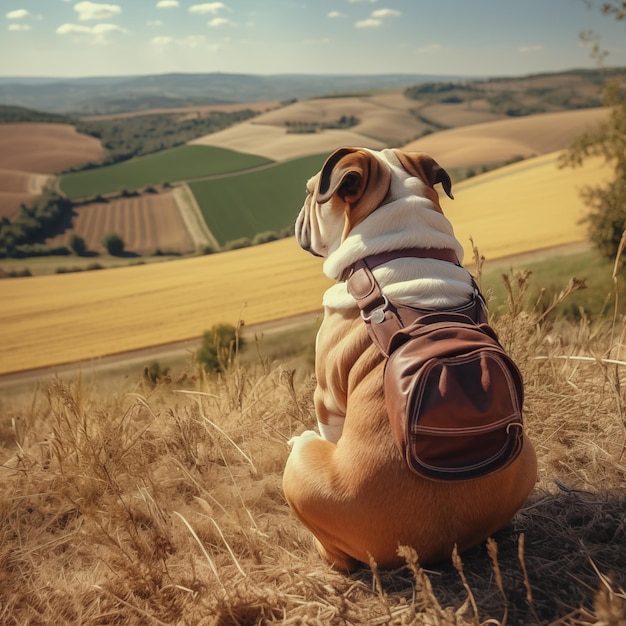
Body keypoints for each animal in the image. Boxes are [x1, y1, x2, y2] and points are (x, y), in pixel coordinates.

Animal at [280, 147, 532, 572]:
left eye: (310, 191)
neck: (402, 248)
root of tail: (437, 546)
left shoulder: (326, 396)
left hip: (299, 472)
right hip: (527, 452)